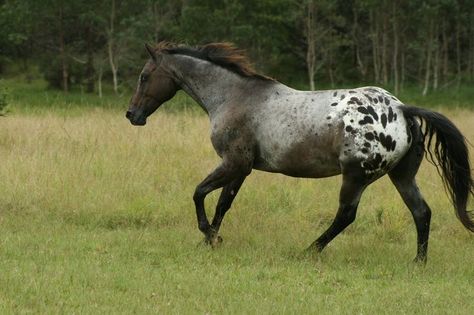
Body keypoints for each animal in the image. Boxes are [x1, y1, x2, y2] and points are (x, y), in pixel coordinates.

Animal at [124, 42, 472, 264]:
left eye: (144, 76)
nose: (132, 115)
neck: (234, 97)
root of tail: (402, 109)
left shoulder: (234, 163)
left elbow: (199, 193)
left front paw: (209, 235)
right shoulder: (241, 168)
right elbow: (223, 204)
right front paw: (210, 240)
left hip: (356, 176)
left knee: (346, 215)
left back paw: (309, 251)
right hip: (401, 176)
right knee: (421, 212)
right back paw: (418, 262)